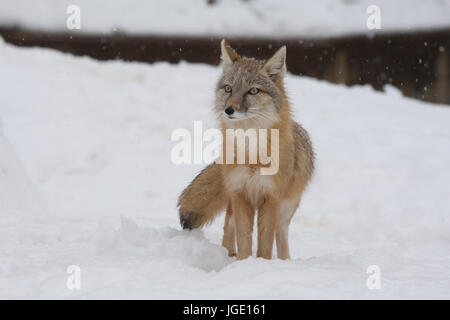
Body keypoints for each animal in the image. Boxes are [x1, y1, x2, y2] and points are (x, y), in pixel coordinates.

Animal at [177, 40, 312, 260]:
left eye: (253, 91)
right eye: (228, 88)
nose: (228, 110)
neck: (251, 155)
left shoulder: (271, 197)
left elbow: (265, 243)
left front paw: (261, 264)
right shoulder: (241, 193)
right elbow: (244, 238)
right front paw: (243, 262)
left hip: (286, 208)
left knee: (281, 233)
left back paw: (284, 261)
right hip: (235, 201)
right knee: (228, 224)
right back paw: (228, 255)